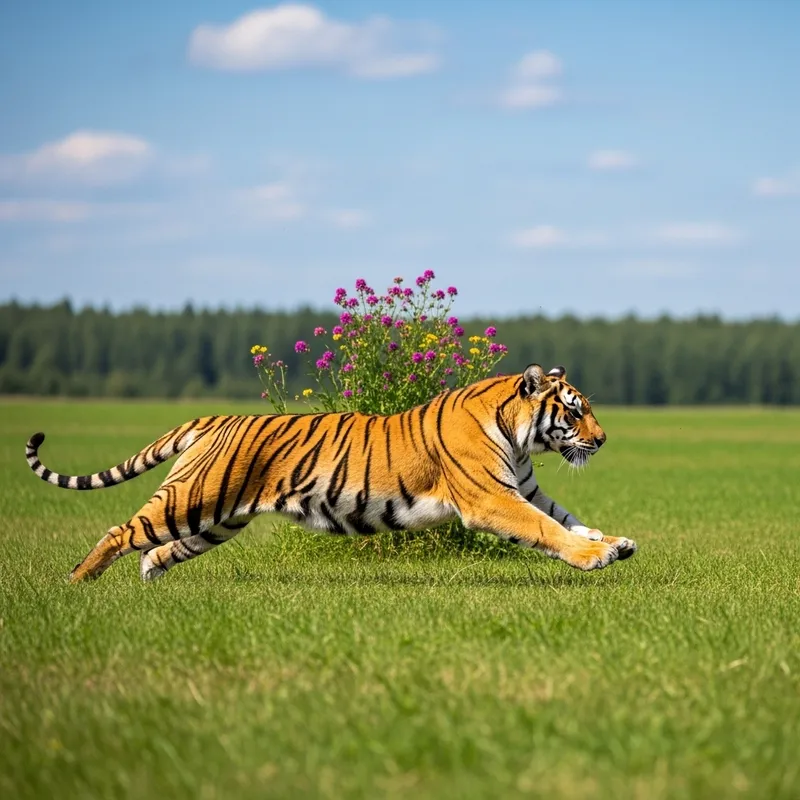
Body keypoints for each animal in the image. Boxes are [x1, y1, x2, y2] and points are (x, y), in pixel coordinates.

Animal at [25, 364, 637, 583]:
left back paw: (150, 579)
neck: (520, 436)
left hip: (217, 520)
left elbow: (568, 518)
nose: (605, 439)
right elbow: (546, 529)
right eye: (576, 411)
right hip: (191, 500)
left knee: (159, 550)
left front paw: (614, 542)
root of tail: (214, 418)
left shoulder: (526, 488)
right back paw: (78, 585)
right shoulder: (492, 498)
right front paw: (593, 557)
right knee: (120, 532)